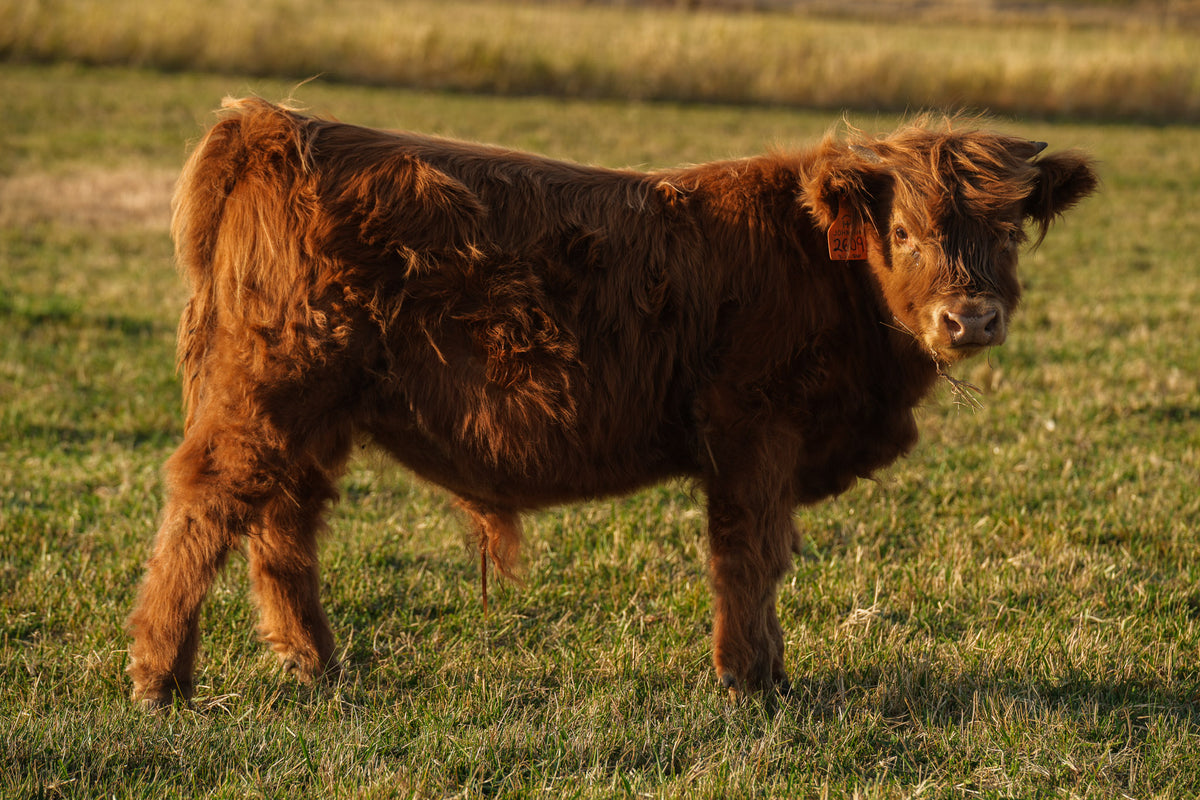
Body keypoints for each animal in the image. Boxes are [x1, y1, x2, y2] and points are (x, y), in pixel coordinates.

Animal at [127, 98, 1097, 707]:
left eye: (1009, 231)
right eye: (902, 231)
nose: (969, 317)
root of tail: (273, 125)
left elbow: (766, 555)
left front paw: (767, 671)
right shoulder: (752, 428)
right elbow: (748, 554)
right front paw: (750, 681)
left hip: (316, 410)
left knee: (283, 521)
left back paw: (315, 665)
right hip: (272, 391)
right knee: (209, 503)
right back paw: (160, 677)